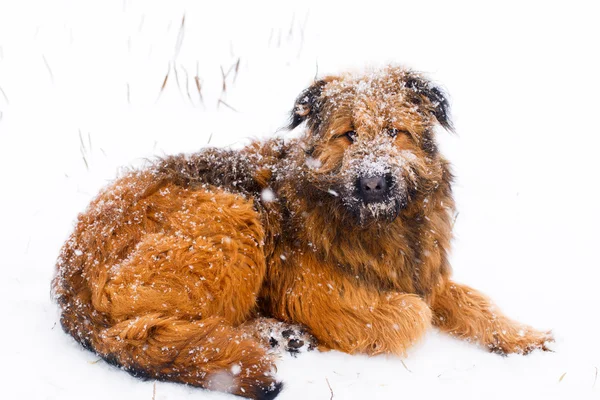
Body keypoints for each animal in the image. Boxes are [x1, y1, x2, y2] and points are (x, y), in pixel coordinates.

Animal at [51, 65, 552, 396]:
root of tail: (70, 276)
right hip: (232, 219)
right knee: (151, 329)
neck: (375, 222)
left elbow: (470, 301)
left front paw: (521, 336)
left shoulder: (424, 272)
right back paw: (270, 337)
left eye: (396, 132)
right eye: (348, 134)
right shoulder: (316, 292)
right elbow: (413, 314)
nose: (374, 182)